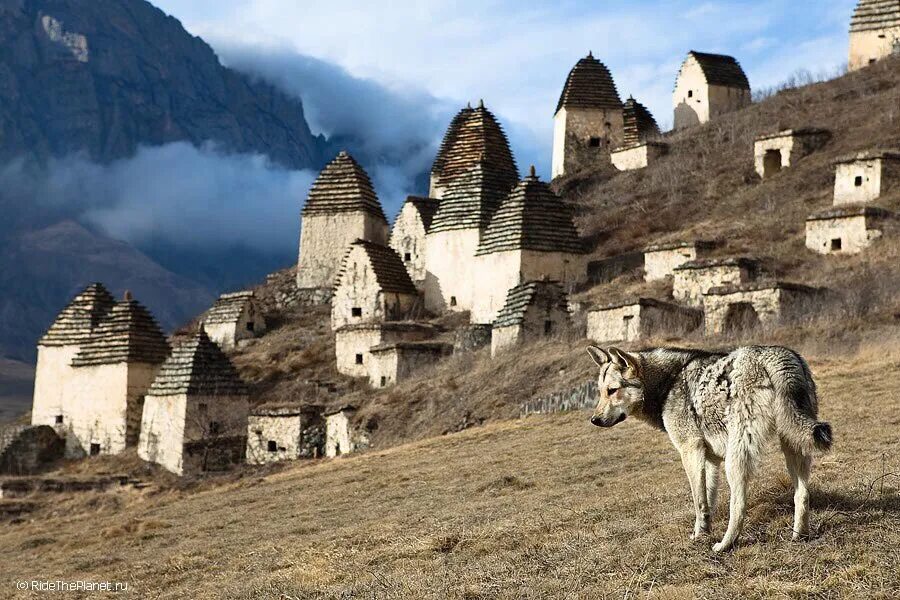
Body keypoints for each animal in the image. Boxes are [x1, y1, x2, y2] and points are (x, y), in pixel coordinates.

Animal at [588, 344, 832, 552]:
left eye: (612, 390)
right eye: (601, 391)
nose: (594, 420)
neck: (667, 384)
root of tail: (777, 354)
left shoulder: (690, 451)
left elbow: (699, 502)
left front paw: (699, 536)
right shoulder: (710, 459)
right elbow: (709, 499)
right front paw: (705, 531)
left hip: (736, 459)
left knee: (739, 504)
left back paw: (725, 545)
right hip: (793, 445)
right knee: (802, 494)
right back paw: (799, 536)